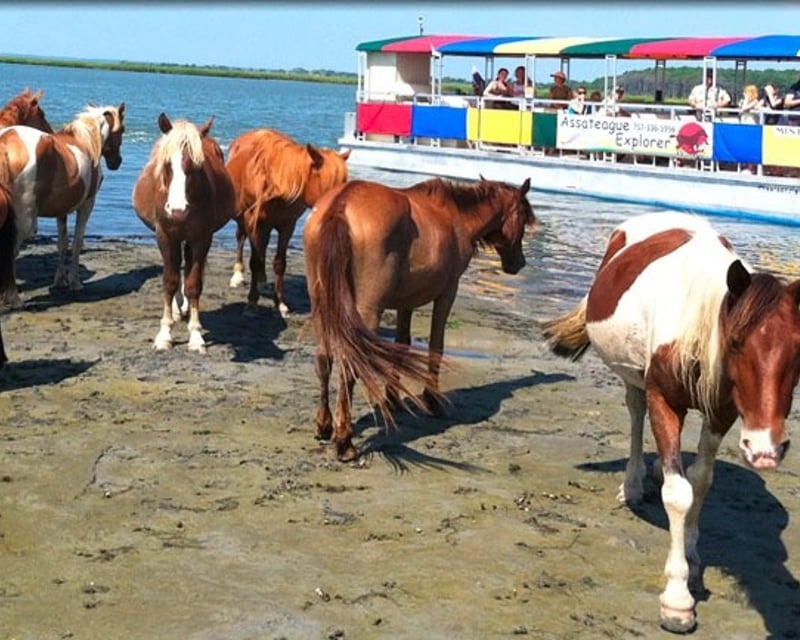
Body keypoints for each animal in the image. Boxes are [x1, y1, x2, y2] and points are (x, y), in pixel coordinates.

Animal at [0, 102, 125, 305]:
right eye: (122, 129)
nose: (117, 162)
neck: (87, 143)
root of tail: (7, 140)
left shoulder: (62, 210)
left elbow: (62, 243)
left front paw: (60, 280)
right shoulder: (86, 206)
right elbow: (76, 242)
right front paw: (75, 282)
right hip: (24, 220)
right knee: (11, 251)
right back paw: (13, 298)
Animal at [132, 112, 235, 354]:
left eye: (197, 165)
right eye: (167, 164)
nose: (177, 210)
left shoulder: (201, 238)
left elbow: (193, 283)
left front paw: (196, 336)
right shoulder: (165, 237)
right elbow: (169, 281)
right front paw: (164, 334)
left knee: (187, 268)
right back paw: (178, 309)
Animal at [226, 128, 350, 316]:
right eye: (329, 186)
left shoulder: (287, 226)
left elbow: (279, 263)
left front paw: (281, 303)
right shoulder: (254, 223)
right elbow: (255, 261)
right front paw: (252, 303)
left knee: (262, 249)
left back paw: (263, 281)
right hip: (245, 220)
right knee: (241, 238)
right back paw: (238, 275)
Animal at [303, 176, 536, 461]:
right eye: (523, 218)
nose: (519, 264)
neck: (455, 216)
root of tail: (342, 203)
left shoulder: (406, 302)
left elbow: (401, 347)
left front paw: (393, 399)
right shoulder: (448, 292)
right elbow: (437, 344)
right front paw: (433, 400)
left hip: (322, 306)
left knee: (324, 359)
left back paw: (324, 426)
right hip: (367, 311)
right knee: (350, 365)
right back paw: (344, 442)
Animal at [541, 211, 800, 634]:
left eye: (798, 351)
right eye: (736, 343)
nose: (766, 448)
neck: (695, 325)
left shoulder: (721, 412)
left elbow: (701, 481)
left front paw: (692, 554)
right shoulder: (664, 401)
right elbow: (678, 493)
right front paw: (677, 599)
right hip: (634, 379)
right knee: (635, 414)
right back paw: (632, 485)